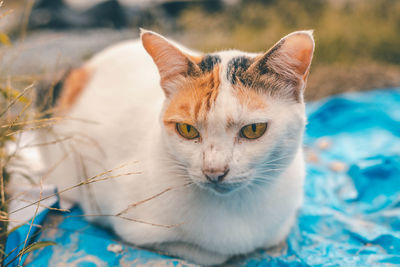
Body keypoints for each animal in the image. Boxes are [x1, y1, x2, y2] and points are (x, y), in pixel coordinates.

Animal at [15, 29, 314, 266]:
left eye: (253, 130)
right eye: (187, 130)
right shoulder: (119, 217)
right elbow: (210, 254)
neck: (237, 209)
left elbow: (275, 237)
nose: (214, 171)